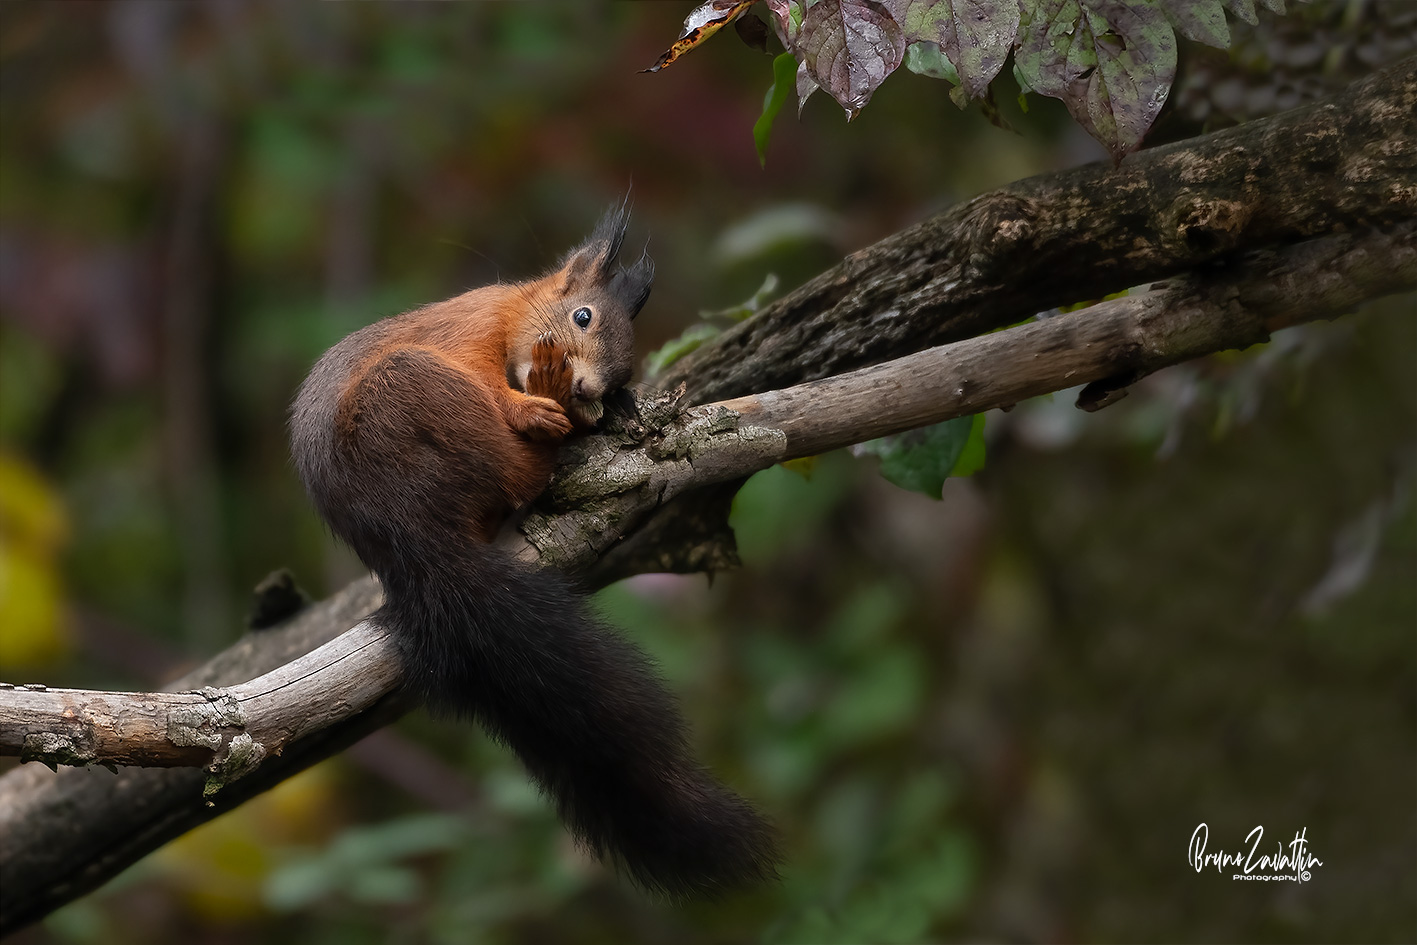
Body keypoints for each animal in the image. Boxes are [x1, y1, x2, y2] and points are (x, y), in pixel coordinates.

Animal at [289, 206, 780, 899]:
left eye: (625, 365)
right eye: (583, 316)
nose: (591, 386)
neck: (512, 320)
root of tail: (407, 536)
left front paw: (607, 407)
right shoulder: (466, 333)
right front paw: (547, 397)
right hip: (415, 390)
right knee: (521, 470)